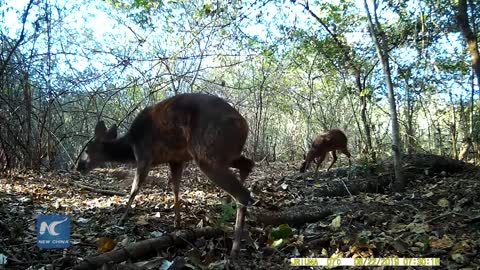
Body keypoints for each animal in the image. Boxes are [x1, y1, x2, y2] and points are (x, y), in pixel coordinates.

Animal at [76, 93, 255, 255]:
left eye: (87, 150)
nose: (79, 166)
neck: (131, 145)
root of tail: (244, 124)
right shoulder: (175, 159)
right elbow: (175, 188)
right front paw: (177, 222)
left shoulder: (144, 156)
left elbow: (135, 188)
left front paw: (121, 218)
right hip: (225, 152)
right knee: (248, 164)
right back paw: (228, 207)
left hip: (207, 152)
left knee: (243, 193)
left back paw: (234, 251)